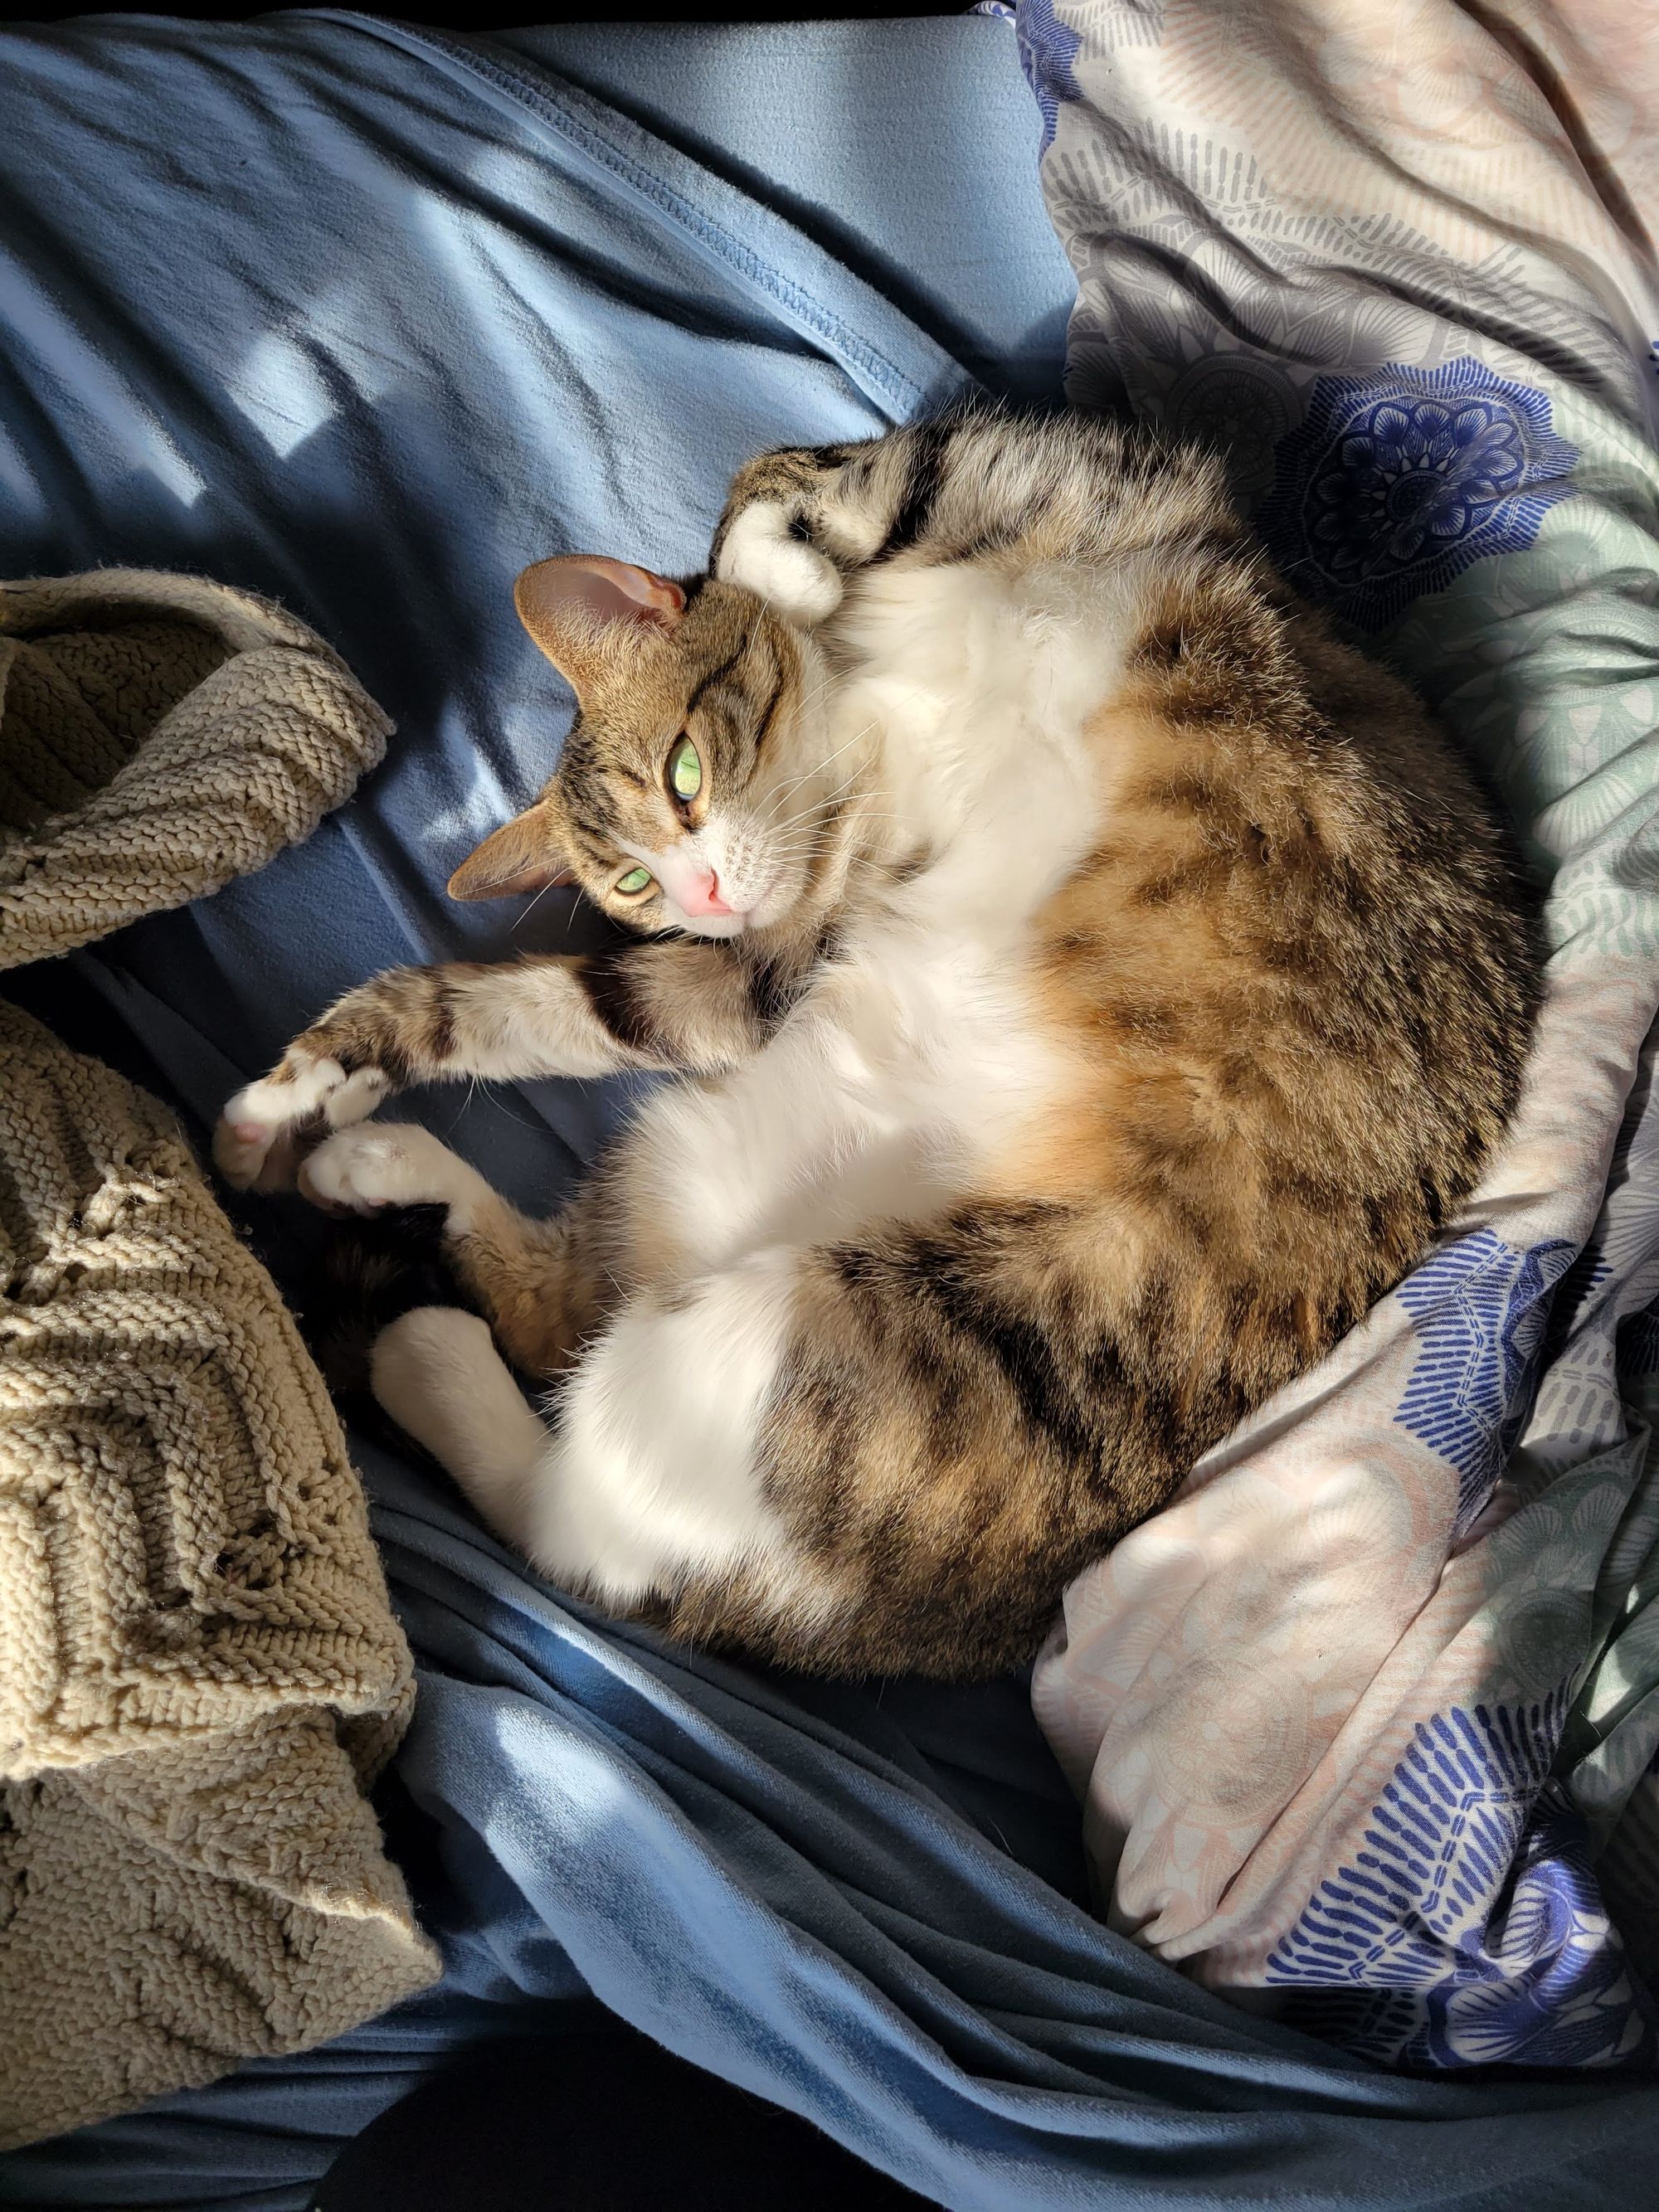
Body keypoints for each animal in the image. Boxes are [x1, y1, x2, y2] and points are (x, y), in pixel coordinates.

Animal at [214, 411, 1540, 1672]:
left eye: (684, 774)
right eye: (633, 883)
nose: (700, 895)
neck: (873, 727)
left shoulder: (1096, 480)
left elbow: (803, 478)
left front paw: (782, 573)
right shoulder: (766, 958)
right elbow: (548, 1004)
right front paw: (315, 1083)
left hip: (852, 1339)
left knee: (570, 1512)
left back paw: (418, 1341)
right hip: (701, 1176)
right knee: (556, 1353)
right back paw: (374, 1177)